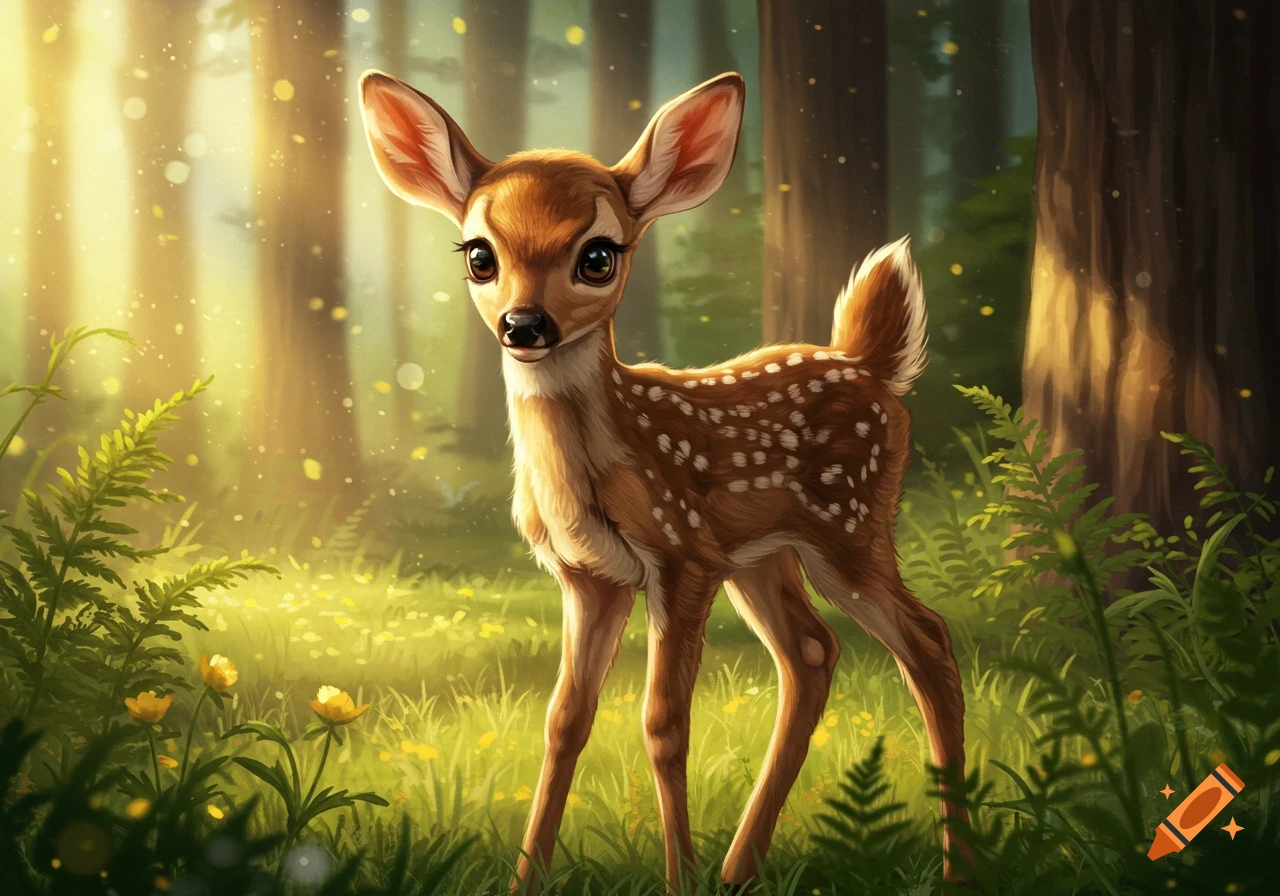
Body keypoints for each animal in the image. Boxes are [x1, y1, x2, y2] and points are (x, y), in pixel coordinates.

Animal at [359, 69, 971, 891]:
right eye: (479, 254)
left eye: (598, 255)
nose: (524, 324)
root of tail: (870, 363)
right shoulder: (589, 576)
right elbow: (564, 721)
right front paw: (527, 878)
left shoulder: (680, 559)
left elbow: (664, 724)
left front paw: (678, 877)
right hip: (761, 556)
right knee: (812, 655)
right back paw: (740, 868)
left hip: (849, 527)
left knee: (929, 641)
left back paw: (957, 868)